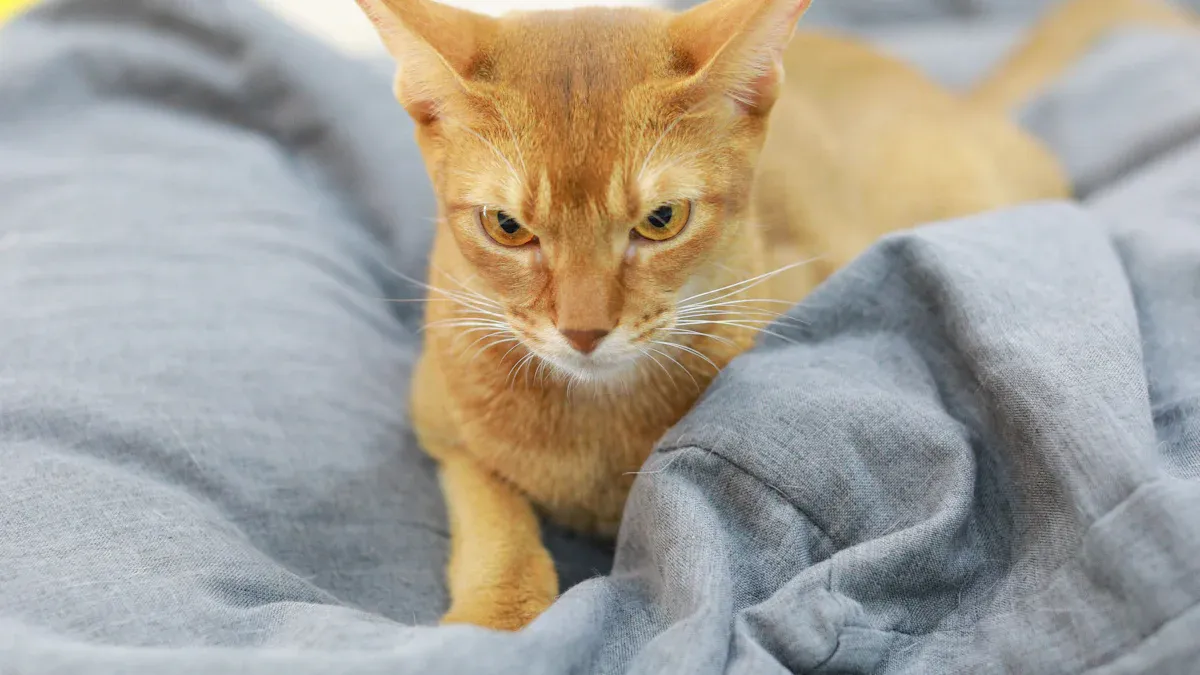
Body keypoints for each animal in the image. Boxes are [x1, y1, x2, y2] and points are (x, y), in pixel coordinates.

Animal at [350, 0, 1195, 629]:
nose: (583, 331)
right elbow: (490, 507)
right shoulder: (438, 420)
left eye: (662, 220)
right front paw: (498, 612)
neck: (595, 422)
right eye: (506, 227)